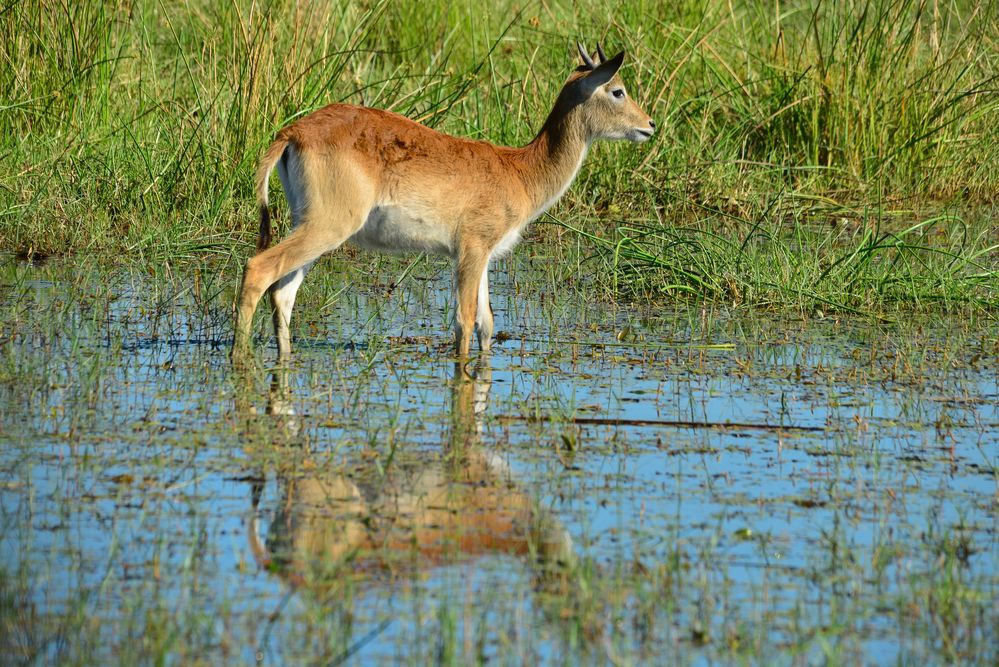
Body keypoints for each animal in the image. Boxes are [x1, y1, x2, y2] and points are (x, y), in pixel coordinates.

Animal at [234, 43, 656, 360]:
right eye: (617, 90)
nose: (650, 125)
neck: (518, 171)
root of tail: (292, 132)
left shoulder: (482, 256)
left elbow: (486, 323)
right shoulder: (470, 249)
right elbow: (464, 321)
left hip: (307, 224)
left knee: (283, 293)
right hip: (328, 225)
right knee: (258, 269)